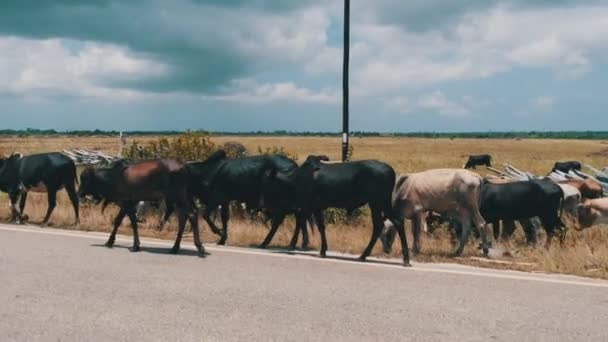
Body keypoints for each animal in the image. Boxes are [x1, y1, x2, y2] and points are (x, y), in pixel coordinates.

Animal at [262, 156, 414, 266]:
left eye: (269, 183)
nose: (263, 205)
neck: (298, 177)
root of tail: (391, 171)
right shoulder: (308, 207)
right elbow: (308, 224)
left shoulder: (311, 206)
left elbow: (313, 225)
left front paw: (313, 248)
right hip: (376, 205)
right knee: (380, 226)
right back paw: (364, 255)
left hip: (380, 202)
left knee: (396, 222)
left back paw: (405, 259)